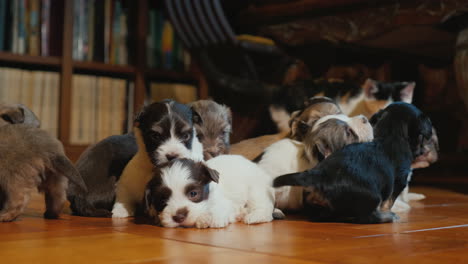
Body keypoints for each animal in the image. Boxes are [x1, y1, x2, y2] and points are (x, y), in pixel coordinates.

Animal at [143, 156, 274, 228]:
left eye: (193, 194)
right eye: (163, 199)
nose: (179, 217)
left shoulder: (224, 202)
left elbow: (218, 208)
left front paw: (207, 219)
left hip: (256, 189)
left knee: (264, 207)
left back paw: (254, 216)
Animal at [272, 102, 434, 224]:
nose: (424, 151)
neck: (391, 132)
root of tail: (319, 174)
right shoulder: (399, 180)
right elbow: (389, 201)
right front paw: (391, 210)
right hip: (370, 195)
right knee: (366, 216)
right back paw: (387, 217)